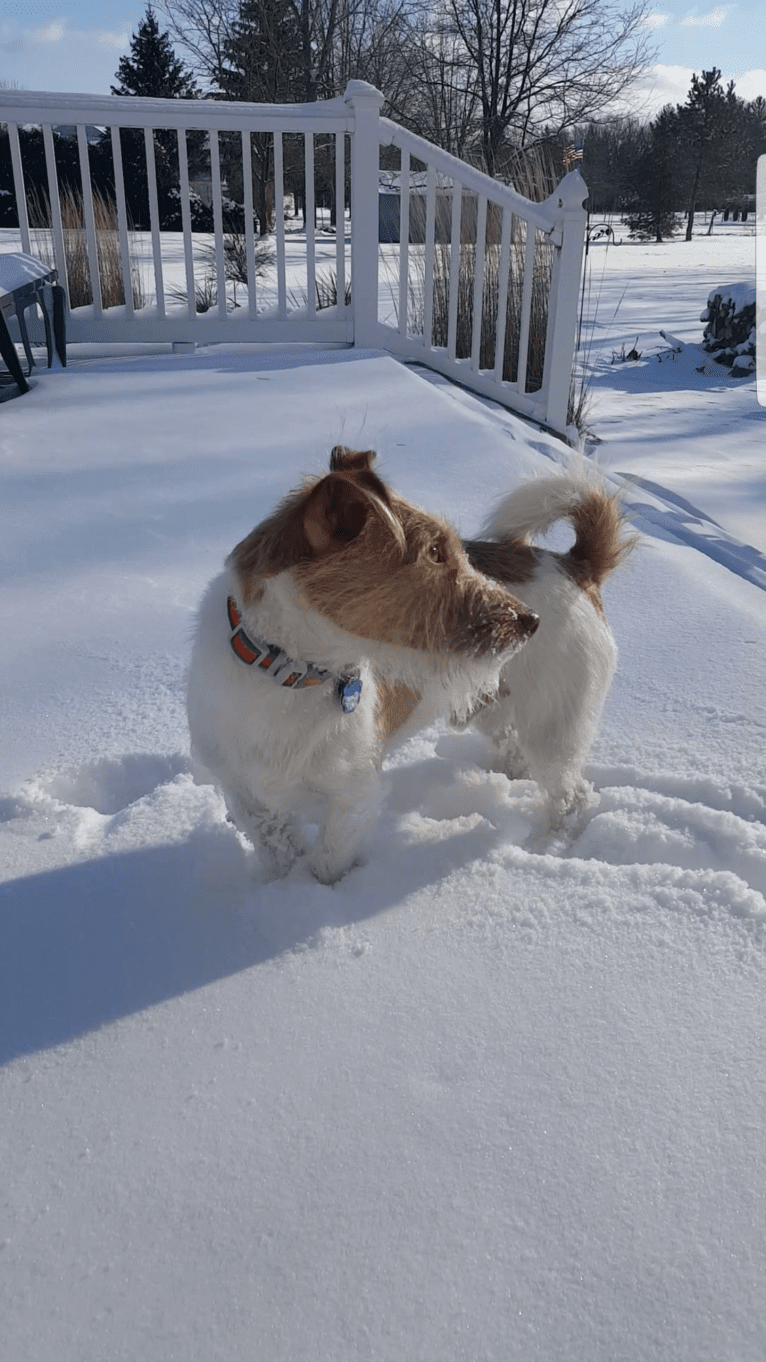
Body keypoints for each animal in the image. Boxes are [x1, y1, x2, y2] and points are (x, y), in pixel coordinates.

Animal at [186, 446, 537, 882]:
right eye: (435, 553)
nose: (531, 620)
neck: (290, 674)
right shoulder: (247, 794)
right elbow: (279, 852)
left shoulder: (352, 795)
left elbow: (327, 864)